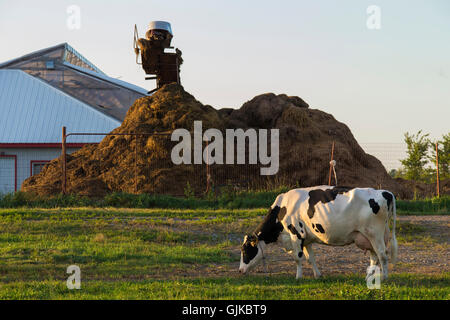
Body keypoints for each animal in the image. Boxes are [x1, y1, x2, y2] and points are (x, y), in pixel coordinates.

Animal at [239, 186, 398, 278]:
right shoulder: (307, 238)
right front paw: (317, 275)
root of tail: (386, 192)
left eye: (245, 250)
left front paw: (298, 277)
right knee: (374, 257)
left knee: (382, 255)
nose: (240, 270)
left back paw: (384, 278)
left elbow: (297, 258)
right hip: (367, 236)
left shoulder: (296, 234)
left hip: (375, 234)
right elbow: (311, 258)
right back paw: (369, 277)